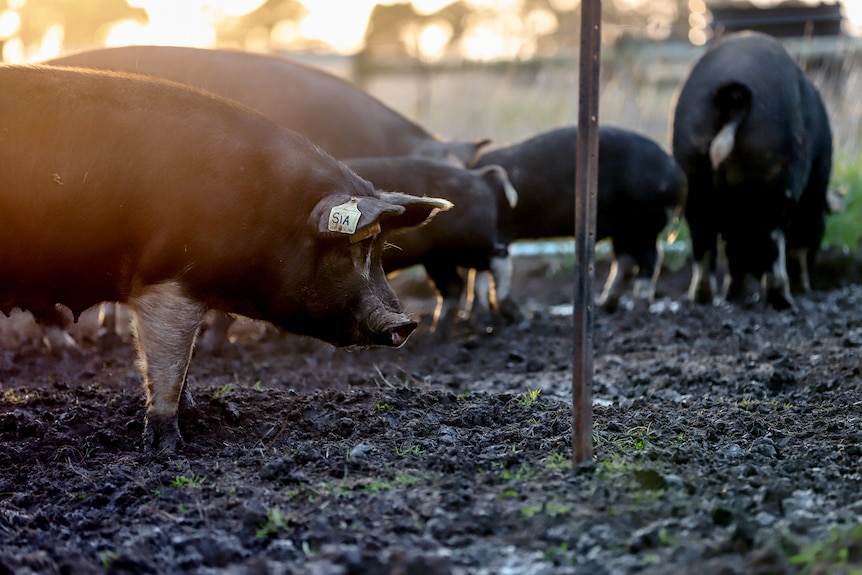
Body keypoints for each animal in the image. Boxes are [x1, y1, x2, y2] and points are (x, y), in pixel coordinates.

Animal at [3, 65, 452, 452]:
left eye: (377, 249)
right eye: (349, 248)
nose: (406, 323)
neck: (269, 212)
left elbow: (182, 363)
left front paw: (194, 412)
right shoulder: (167, 280)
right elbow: (167, 364)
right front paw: (167, 447)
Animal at [472, 125, 688, 320]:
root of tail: (676, 172)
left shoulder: (500, 234)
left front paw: (519, 316)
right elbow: (478, 276)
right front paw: (477, 313)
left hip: (644, 224)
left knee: (651, 259)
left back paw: (638, 310)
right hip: (623, 230)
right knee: (626, 262)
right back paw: (606, 306)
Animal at [672, 30, 832, 310]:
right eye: (823, 226)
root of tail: (733, 95)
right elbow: (795, 248)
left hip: (692, 173)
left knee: (703, 241)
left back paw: (703, 299)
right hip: (774, 174)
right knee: (773, 238)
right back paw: (783, 301)